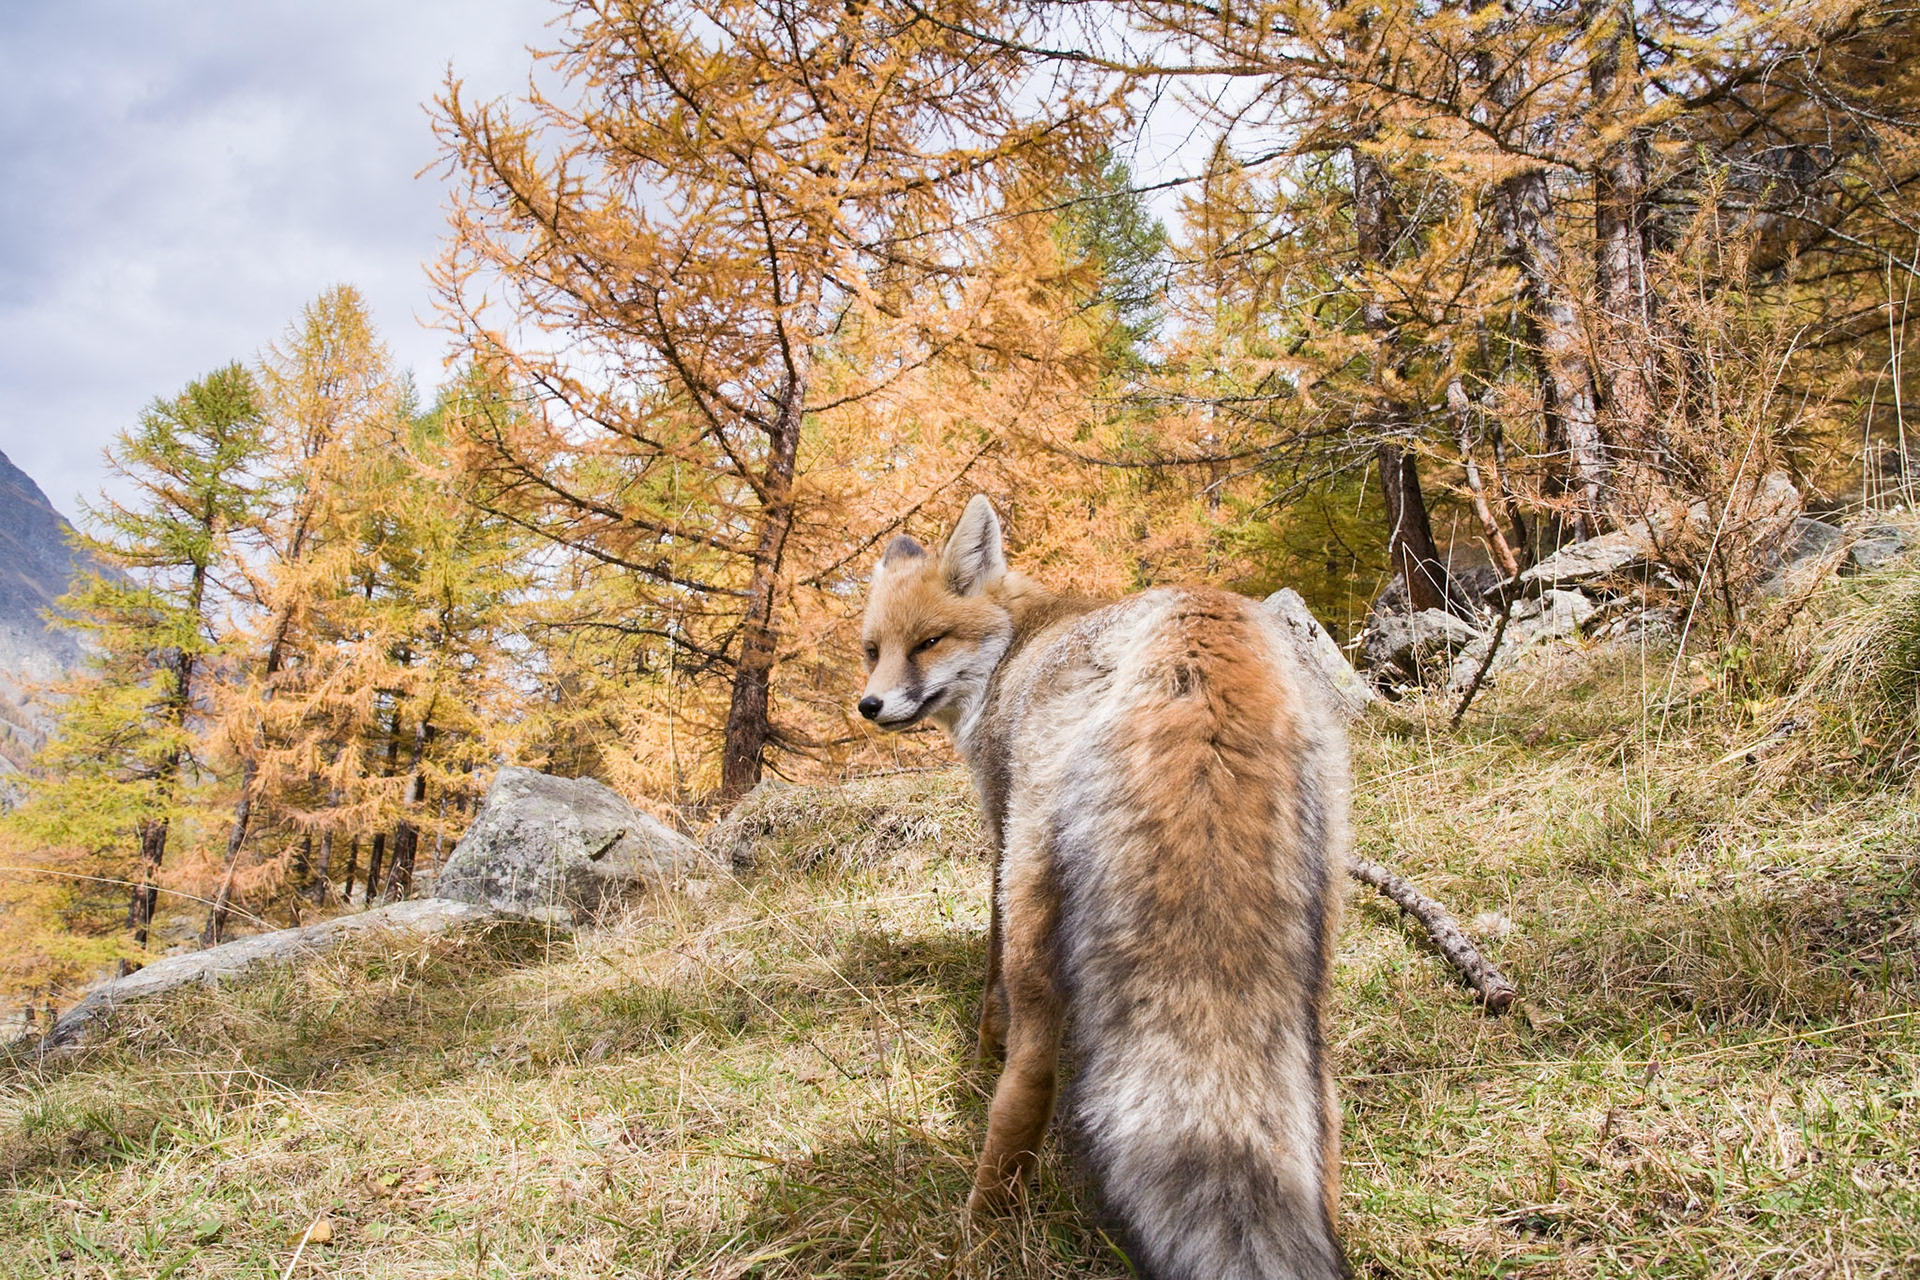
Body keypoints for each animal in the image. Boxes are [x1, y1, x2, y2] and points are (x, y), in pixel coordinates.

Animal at [856, 495, 1348, 1280]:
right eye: (874, 650)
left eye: (929, 641)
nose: (869, 706)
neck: (1018, 643)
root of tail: (1204, 616)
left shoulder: (1000, 831)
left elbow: (989, 972)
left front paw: (981, 1050)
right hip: (1314, 931)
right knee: (1320, 1104)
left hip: (1034, 889)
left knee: (1031, 1076)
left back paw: (984, 1223)